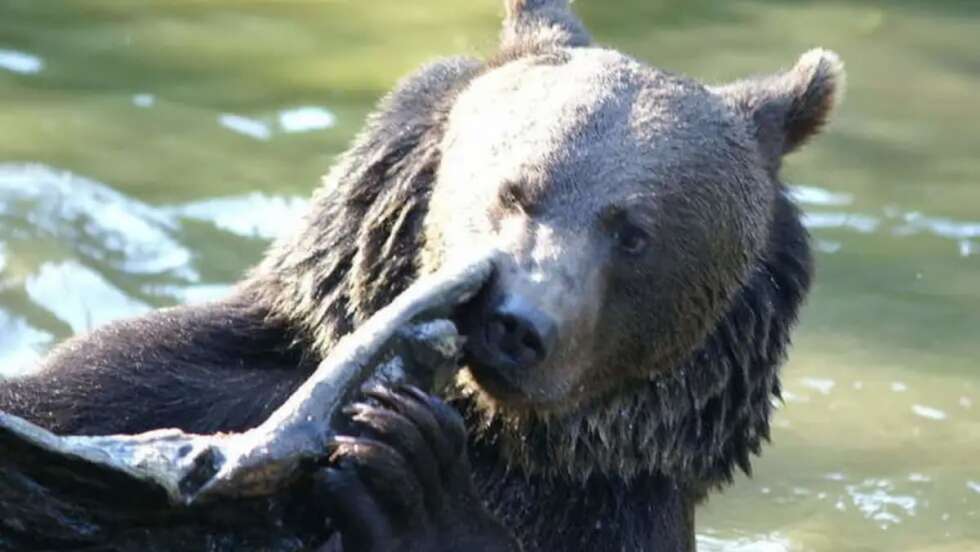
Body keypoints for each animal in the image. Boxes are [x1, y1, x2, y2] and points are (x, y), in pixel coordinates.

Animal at [0, 1, 845, 550]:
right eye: (515, 189)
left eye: (633, 234)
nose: (519, 324)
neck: (495, 432)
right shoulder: (155, 381)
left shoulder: (610, 513)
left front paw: (411, 468)